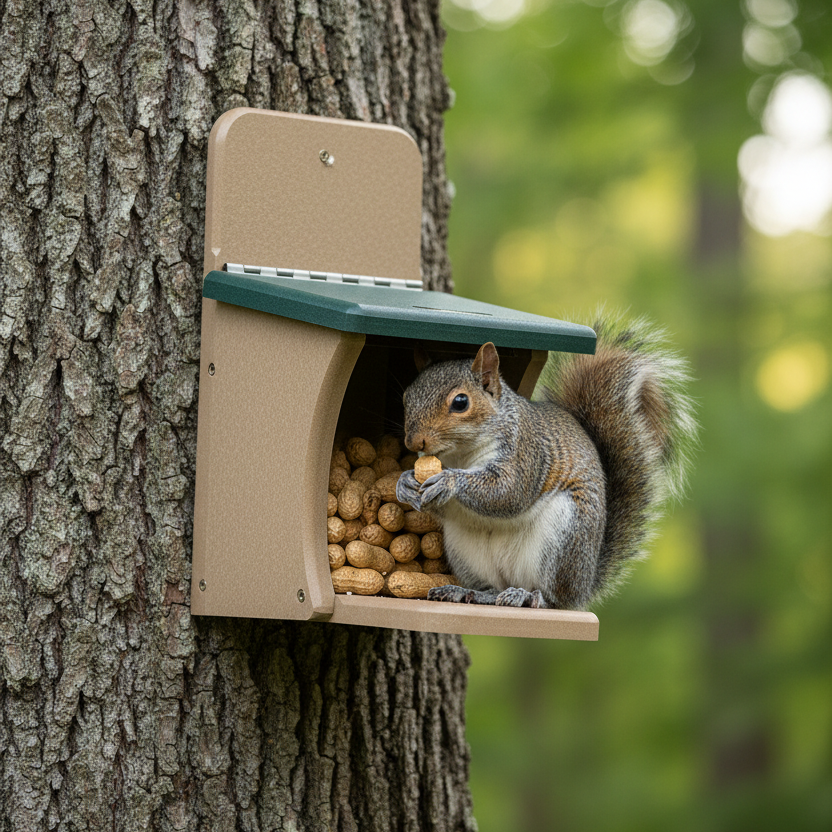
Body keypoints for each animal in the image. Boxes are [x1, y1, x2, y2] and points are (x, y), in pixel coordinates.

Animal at [395, 317, 697, 610]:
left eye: (460, 402)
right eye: (406, 396)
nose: (414, 442)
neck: (460, 454)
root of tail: (584, 584)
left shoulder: (526, 453)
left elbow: (508, 491)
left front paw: (449, 480)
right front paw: (405, 482)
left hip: (564, 537)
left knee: (553, 598)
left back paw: (529, 597)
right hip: (465, 552)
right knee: (493, 590)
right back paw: (465, 591)